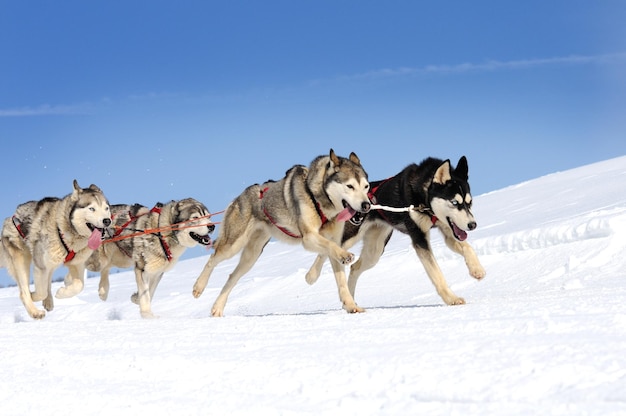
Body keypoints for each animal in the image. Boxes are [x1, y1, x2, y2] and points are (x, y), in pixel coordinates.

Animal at [0, 180, 111, 320]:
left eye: (106, 208)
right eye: (92, 209)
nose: (107, 221)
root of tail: (10, 218)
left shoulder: (77, 264)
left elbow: (79, 285)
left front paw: (62, 292)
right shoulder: (40, 266)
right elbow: (40, 291)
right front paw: (34, 295)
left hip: (51, 263)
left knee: (47, 281)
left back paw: (48, 301)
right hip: (21, 260)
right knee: (24, 292)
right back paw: (35, 311)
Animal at [58, 198, 214, 318]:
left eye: (208, 216)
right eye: (196, 218)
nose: (212, 226)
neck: (162, 231)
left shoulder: (157, 271)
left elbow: (150, 291)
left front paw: (136, 298)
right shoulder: (142, 268)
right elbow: (145, 296)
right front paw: (148, 315)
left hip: (120, 257)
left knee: (106, 268)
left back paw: (103, 290)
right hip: (99, 260)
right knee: (79, 268)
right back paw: (66, 288)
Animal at [193, 150, 370, 316]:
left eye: (366, 186)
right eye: (350, 186)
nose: (367, 205)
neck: (318, 197)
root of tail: (240, 196)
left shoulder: (333, 239)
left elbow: (340, 279)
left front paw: (351, 305)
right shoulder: (309, 237)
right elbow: (330, 246)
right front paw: (345, 255)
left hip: (251, 256)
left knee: (231, 278)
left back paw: (217, 308)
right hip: (233, 245)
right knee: (212, 259)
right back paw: (198, 287)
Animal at [304, 156, 486, 306]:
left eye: (469, 202)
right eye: (455, 202)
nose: (472, 225)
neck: (423, 197)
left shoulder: (449, 230)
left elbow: (467, 247)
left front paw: (476, 269)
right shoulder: (419, 237)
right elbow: (437, 273)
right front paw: (451, 298)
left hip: (375, 251)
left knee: (354, 267)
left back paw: (350, 299)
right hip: (350, 236)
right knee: (328, 250)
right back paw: (312, 275)